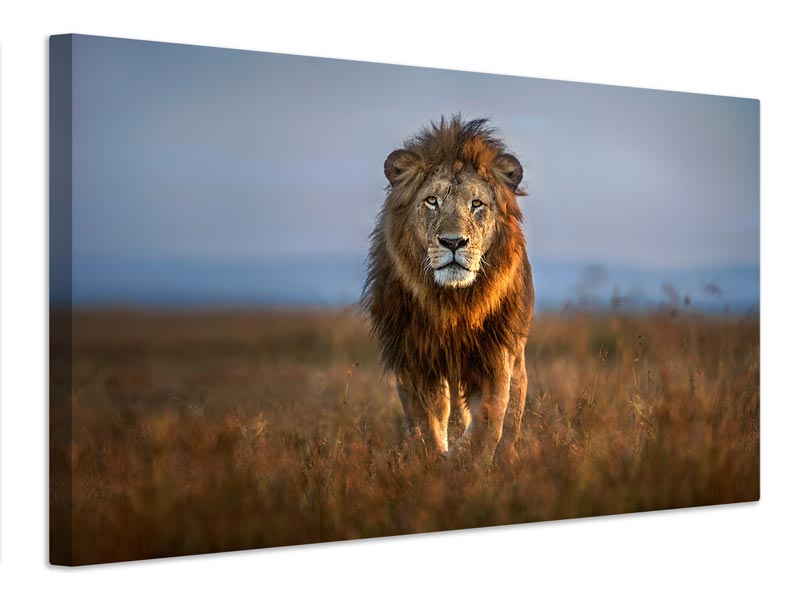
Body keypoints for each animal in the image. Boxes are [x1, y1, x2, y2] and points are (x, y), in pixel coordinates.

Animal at [362, 116, 534, 464]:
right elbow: (426, 420)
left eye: (477, 204)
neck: (453, 303)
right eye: (432, 201)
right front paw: (433, 459)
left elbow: (489, 419)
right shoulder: (413, 357)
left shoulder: (495, 355)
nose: (453, 242)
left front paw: (463, 462)